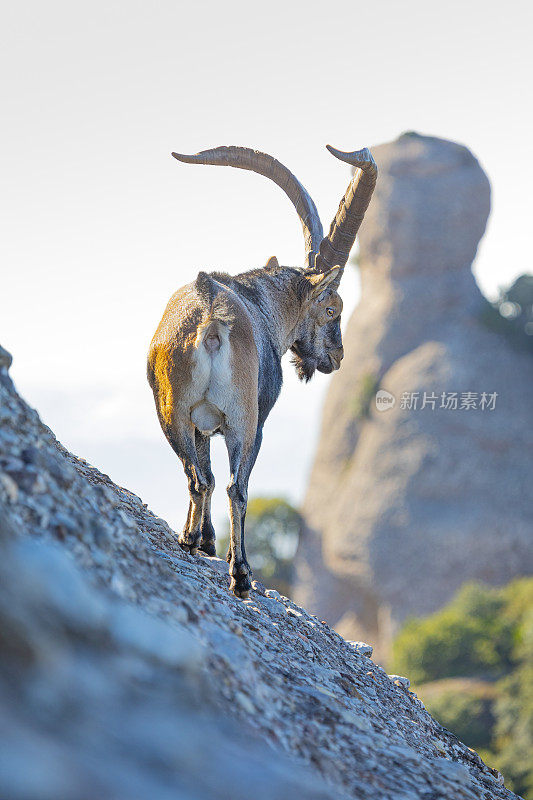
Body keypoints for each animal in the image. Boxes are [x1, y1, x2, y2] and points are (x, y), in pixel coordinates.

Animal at [148, 144, 376, 596]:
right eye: (332, 308)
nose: (337, 357)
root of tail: (211, 321)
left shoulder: (202, 421)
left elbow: (206, 470)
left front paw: (203, 542)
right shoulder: (259, 419)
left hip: (173, 410)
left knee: (198, 477)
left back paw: (190, 542)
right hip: (245, 421)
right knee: (236, 486)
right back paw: (241, 575)